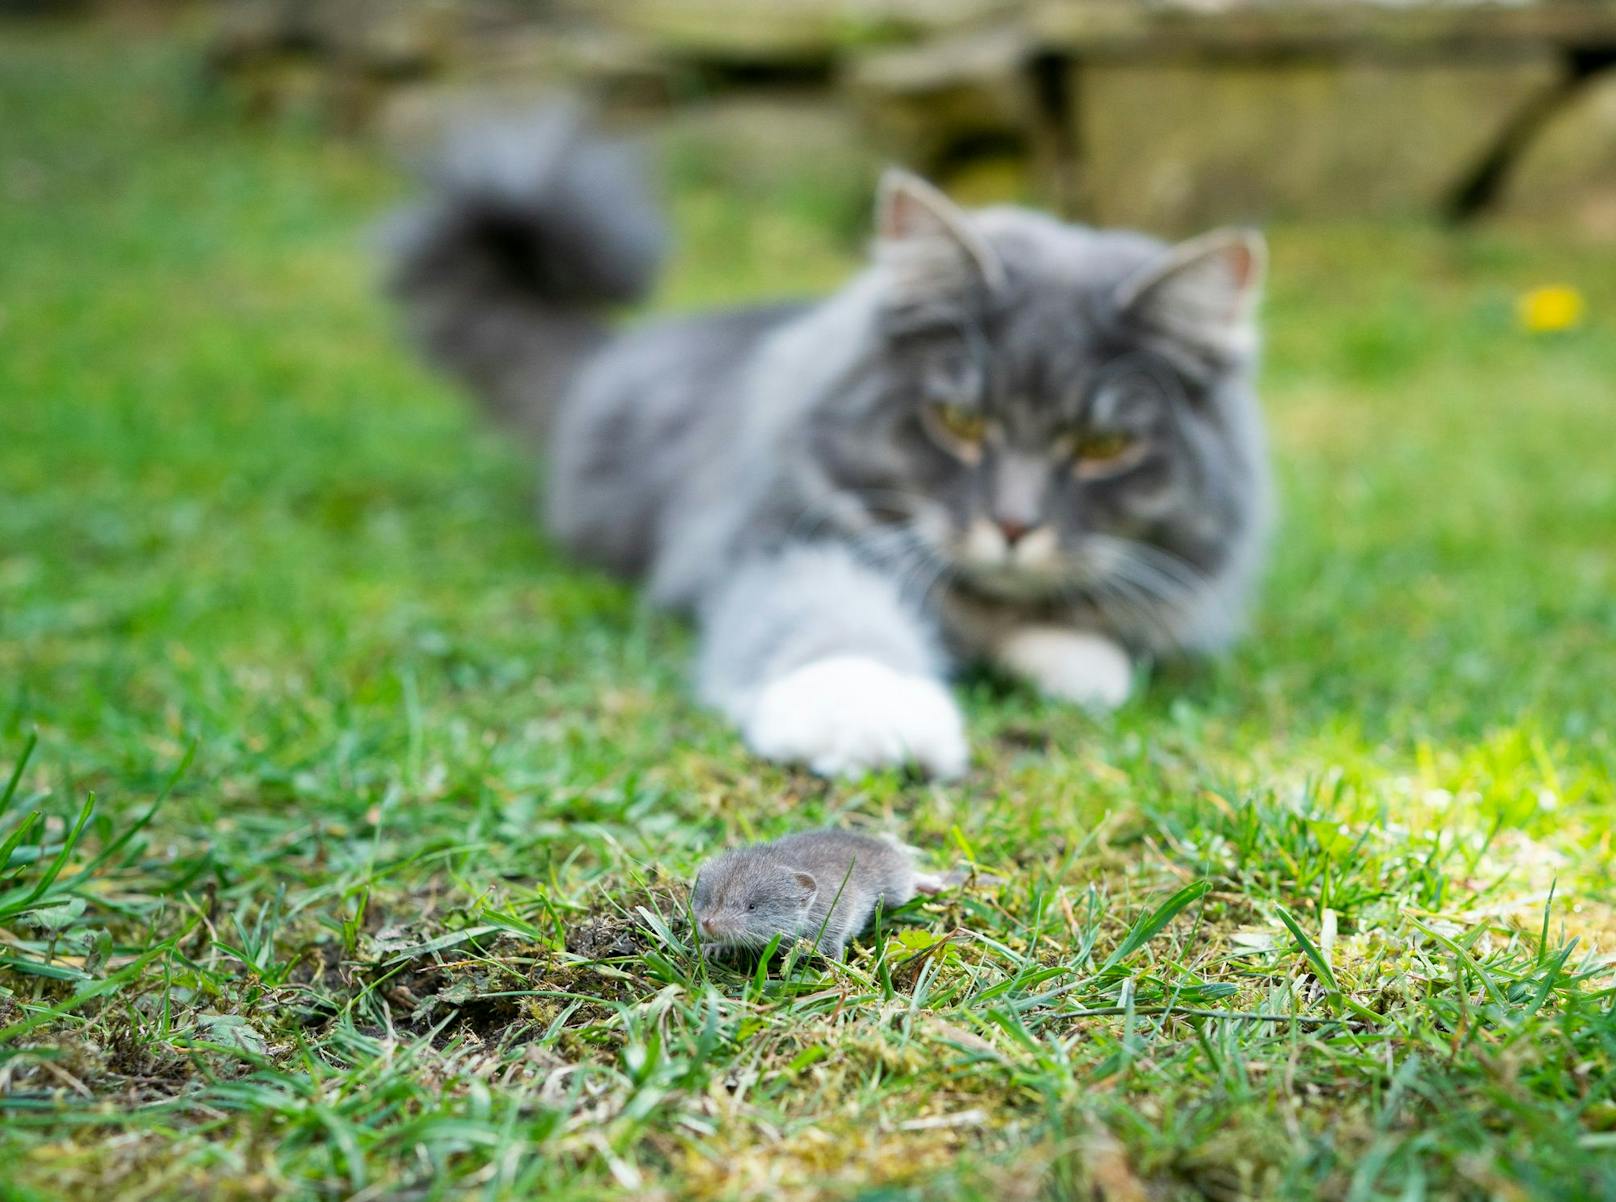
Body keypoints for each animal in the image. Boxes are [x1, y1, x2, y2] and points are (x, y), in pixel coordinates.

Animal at [384, 110, 1266, 778]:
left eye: (1102, 445)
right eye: (960, 423)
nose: (1014, 528)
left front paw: (1081, 663)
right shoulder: (778, 539)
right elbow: (829, 617)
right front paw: (872, 713)